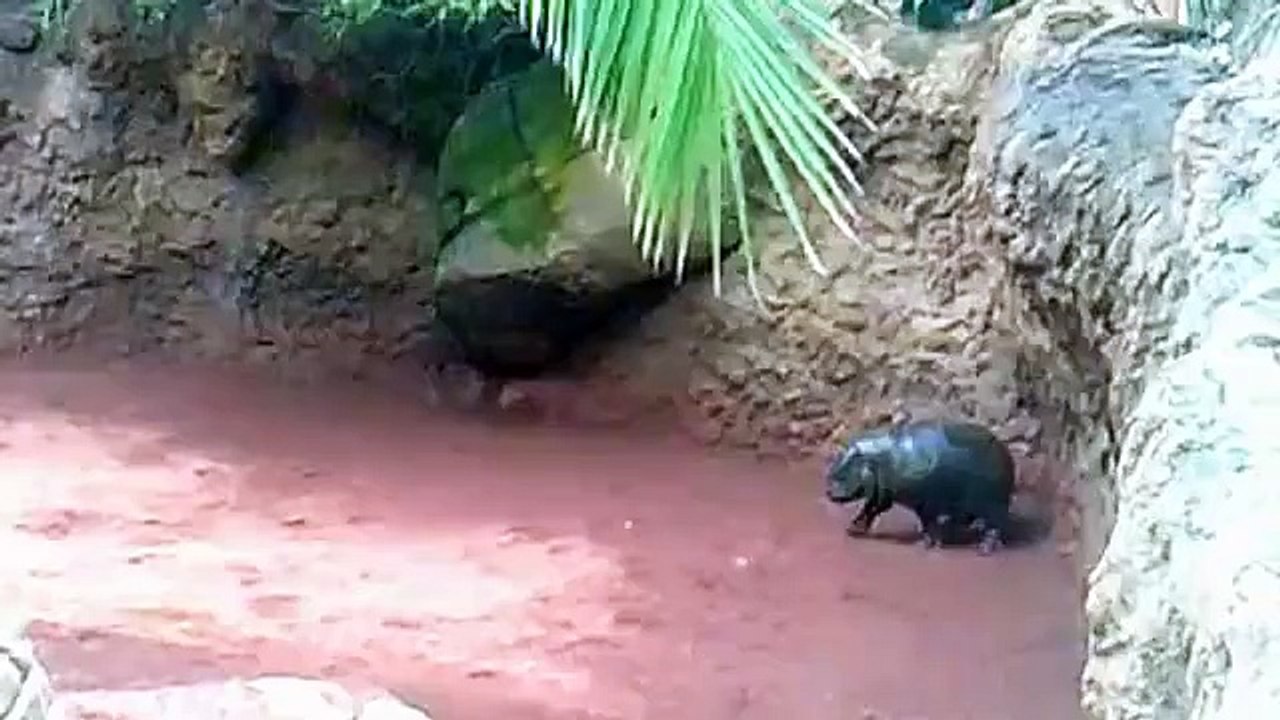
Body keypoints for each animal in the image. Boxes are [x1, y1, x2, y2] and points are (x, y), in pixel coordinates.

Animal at [824, 419, 1016, 555]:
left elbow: (928, 523)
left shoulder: (926, 502)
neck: (882, 458)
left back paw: (983, 549)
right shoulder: (886, 493)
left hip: (993, 504)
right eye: (832, 470)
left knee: (994, 528)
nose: (828, 492)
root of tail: (1006, 452)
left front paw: (924, 544)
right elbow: (869, 510)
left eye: (840, 475)